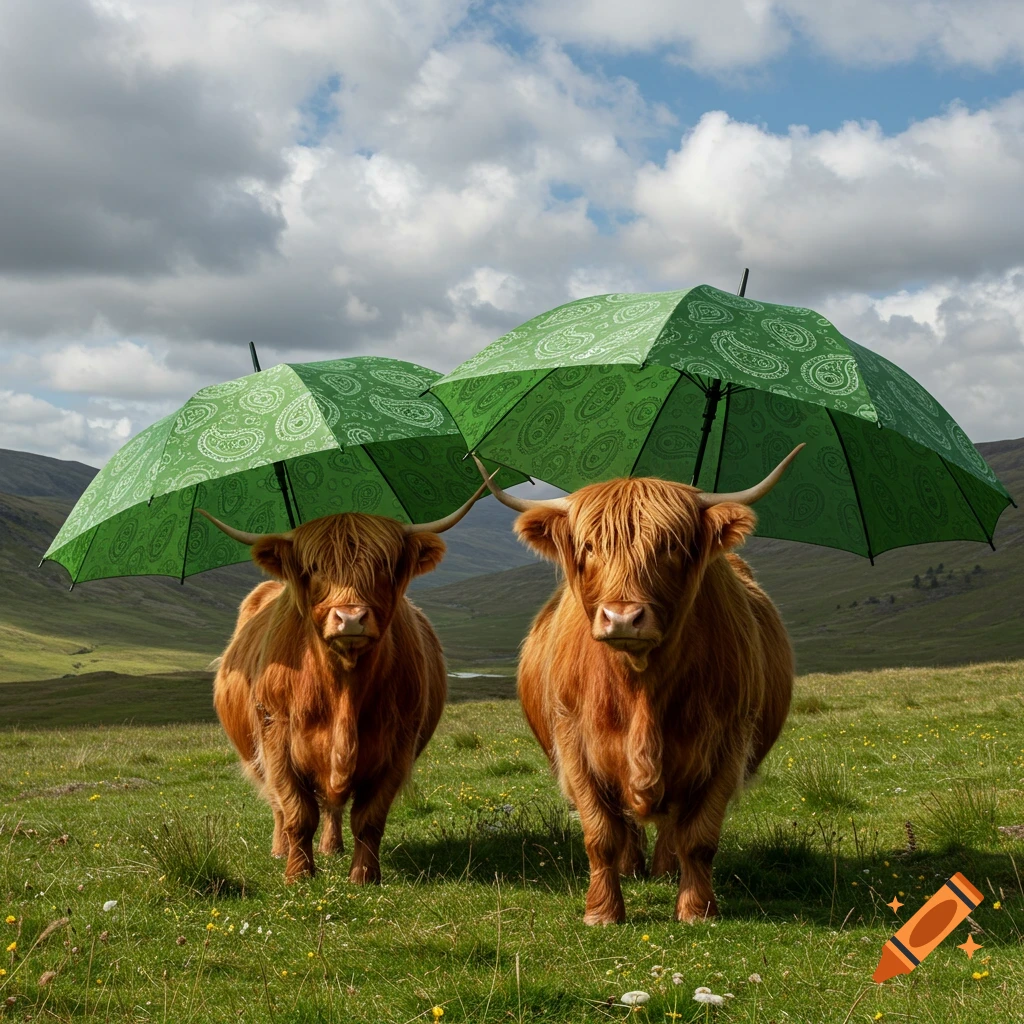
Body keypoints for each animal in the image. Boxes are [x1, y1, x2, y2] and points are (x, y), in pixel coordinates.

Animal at [200, 478, 494, 884]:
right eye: (314, 567)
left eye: (383, 565)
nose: (350, 618)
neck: (342, 688)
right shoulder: (276, 737)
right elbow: (296, 811)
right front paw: (298, 874)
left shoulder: (398, 745)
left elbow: (368, 818)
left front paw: (364, 875)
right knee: (279, 804)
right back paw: (280, 850)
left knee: (333, 806)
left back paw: (332, 846)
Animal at [473, 447, 801, 924]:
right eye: (590, 546)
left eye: (669, 547)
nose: (623, 617)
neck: (640, 686)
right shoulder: (573, 741)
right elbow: (600, 833)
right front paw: (602, 911)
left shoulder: (729, 741)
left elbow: (699, 836)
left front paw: (697, 909)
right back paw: (632, 868)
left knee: (673, 825)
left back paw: (665, 869)